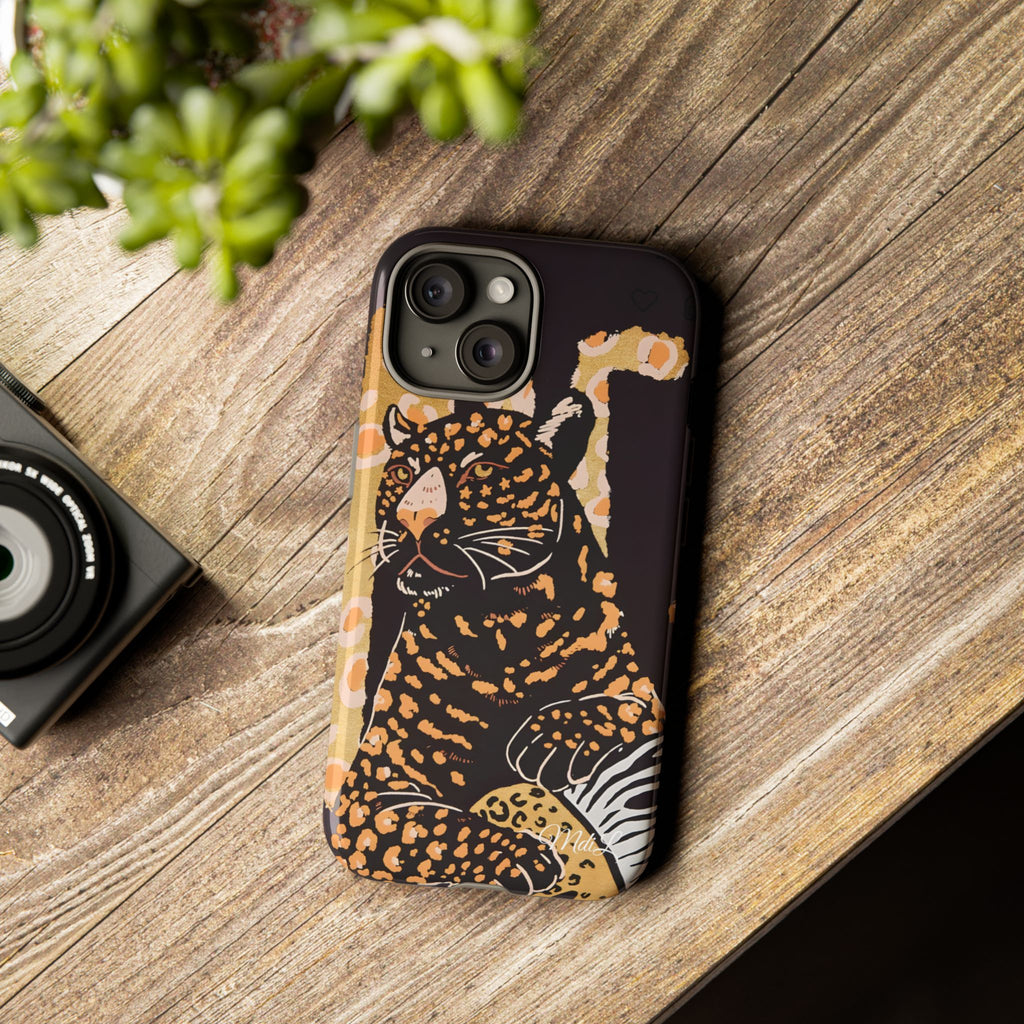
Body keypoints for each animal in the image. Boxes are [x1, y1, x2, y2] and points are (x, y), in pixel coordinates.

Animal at [326, 397, 664, 896]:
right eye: (404, 472)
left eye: (480, 469)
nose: (412, 519)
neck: (502, 624)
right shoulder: (370, 793)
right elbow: (437, 828)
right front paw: (523, 856)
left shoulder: (641, 687)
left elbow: (626, 706)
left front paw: (549, 738)